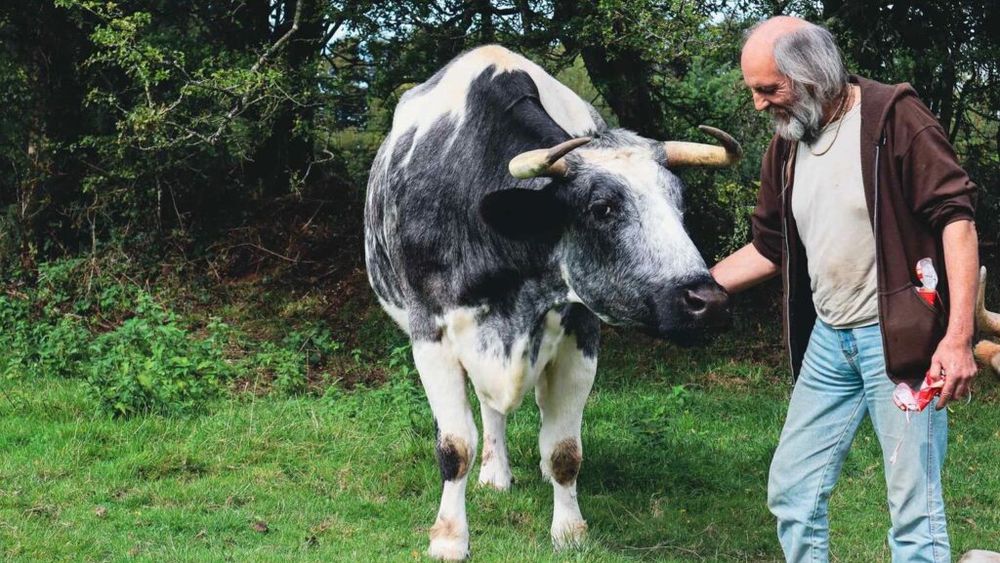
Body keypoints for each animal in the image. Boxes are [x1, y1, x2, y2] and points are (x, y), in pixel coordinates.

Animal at [364, 45, 741, 560]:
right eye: (602, 208)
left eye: (679, 205)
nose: (708, 299)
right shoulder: (431, 336)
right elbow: (455, 446)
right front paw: (449, 536)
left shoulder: (581, 336)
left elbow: (565, 450)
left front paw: (569, 530)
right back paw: (494, 473)